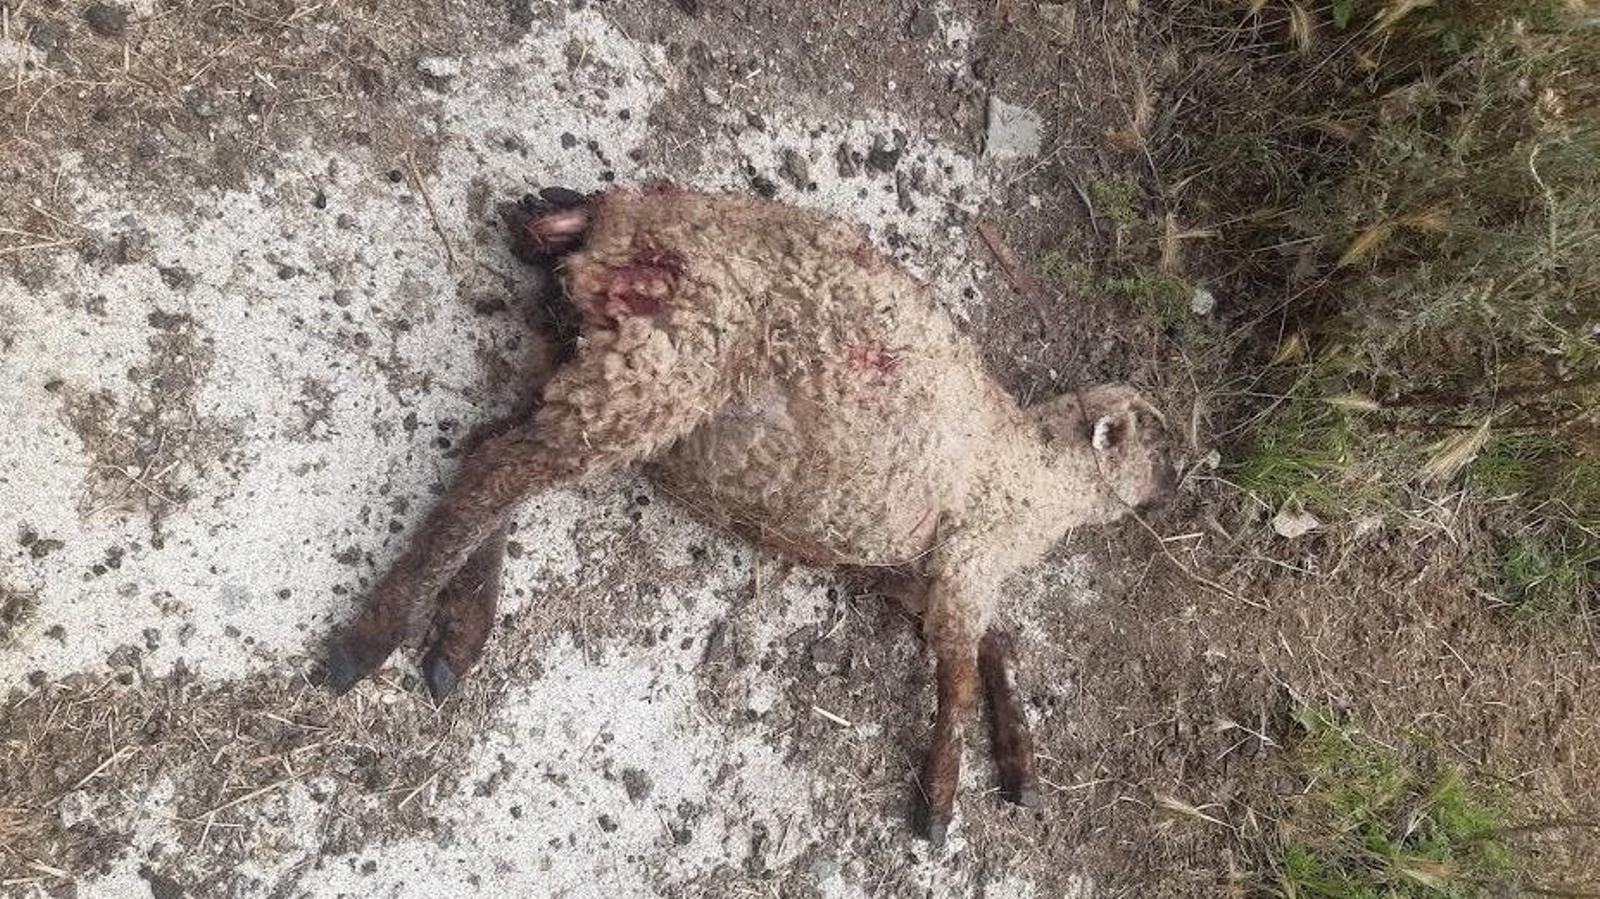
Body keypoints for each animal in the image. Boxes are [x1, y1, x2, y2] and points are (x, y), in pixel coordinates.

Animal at [323, 184, 1177, 843]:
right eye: (1150, 441)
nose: (1168, 489)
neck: (1035, 481)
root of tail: (617, 213)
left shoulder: (907, 568)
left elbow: (1000, 645)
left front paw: (1020, 764)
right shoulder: (965, 561)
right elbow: (963, 672)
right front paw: (939, 798)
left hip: (581, 352)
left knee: (491, 452)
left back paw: (456, 634)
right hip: (677, 350)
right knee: (503, 469)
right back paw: (369, 641)